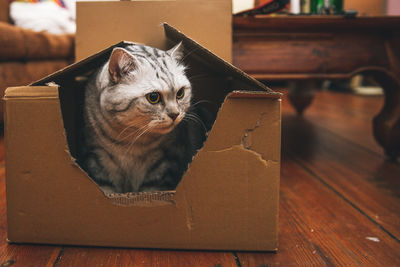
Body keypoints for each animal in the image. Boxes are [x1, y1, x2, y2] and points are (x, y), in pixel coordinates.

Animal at [78, 42, 209, 195]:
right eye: (153, 97)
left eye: (180, 93)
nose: (175, 114)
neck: (129, 139)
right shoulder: (97, 157)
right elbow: (106, 189)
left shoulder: (165, 160)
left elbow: (151, 189)